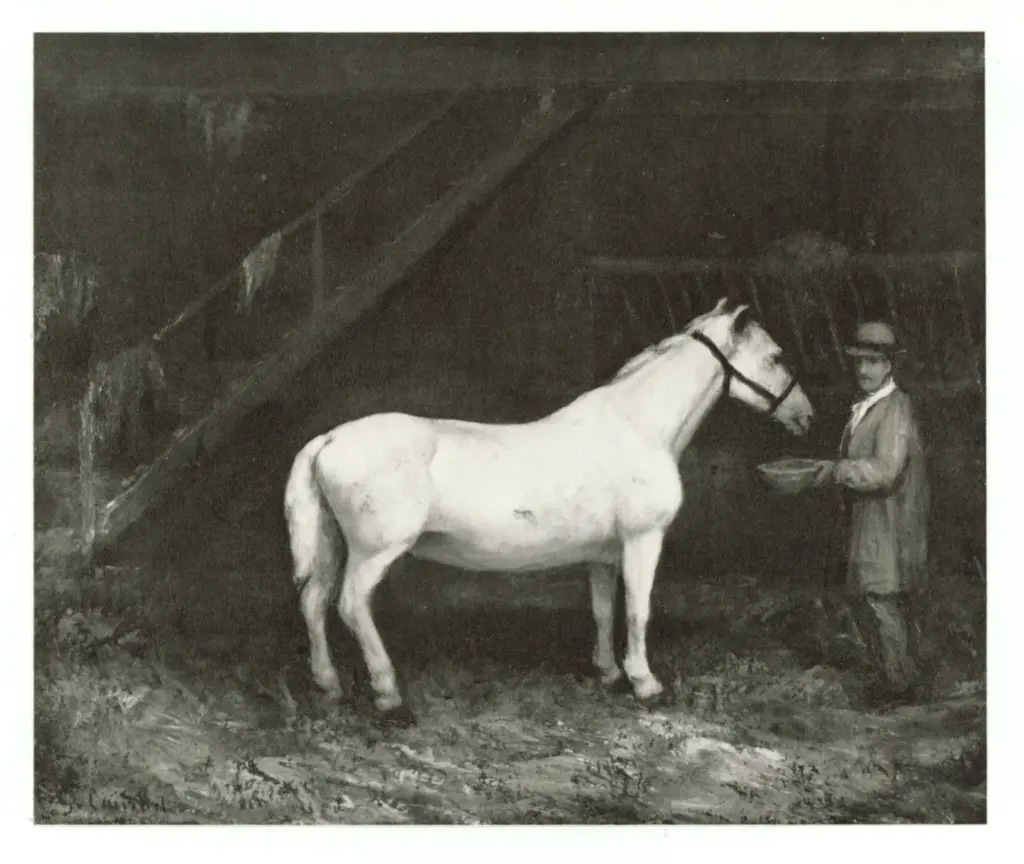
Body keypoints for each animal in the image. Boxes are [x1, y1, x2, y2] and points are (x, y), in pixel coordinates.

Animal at [284, 297, 816, 725]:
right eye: (776, 356)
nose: (806, 417)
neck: (637, 427)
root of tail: (328, 438)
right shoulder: (643, 540)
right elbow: (638, 610)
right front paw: (645, 683)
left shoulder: (604, 554)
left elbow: (603, 610)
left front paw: (609, 674)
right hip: (374, 552)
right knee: (351, 605)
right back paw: (389, 698)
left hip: (334, 543)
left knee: (313, 601)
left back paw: (329, 687)